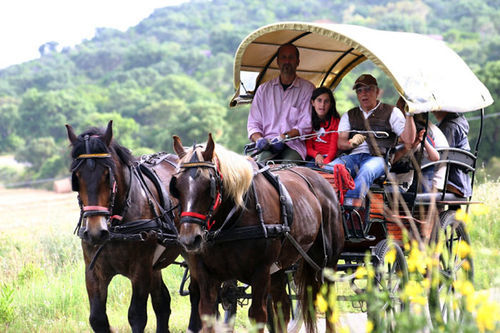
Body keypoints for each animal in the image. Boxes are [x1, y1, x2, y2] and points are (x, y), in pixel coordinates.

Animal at [65, 120, 181, 330]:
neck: (116, 227)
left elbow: (137, 316)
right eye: (76, 176)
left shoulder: (141, 270)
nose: (95, 232)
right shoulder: (94, 271)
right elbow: (97, 318)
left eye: (107, 174)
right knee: (162, 302)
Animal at [170, 134, 346, 330]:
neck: (230, 221)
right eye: (176, 185)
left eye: (210, 184)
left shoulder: (261, 271)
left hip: (326, 263)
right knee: (283, 307)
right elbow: (207, 315)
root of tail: (320, 180)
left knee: (328, 303)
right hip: (280, 268)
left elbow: (257, 315)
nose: (189, 239)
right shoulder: (206, 274)